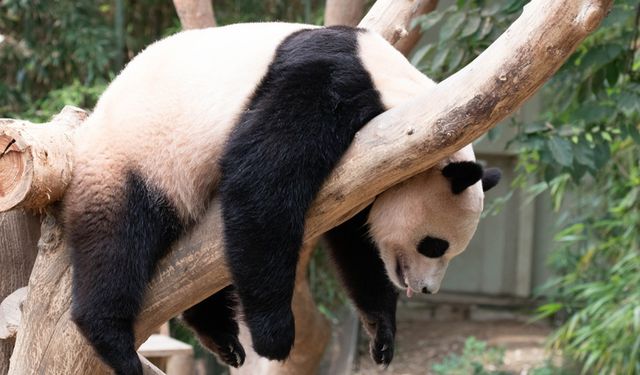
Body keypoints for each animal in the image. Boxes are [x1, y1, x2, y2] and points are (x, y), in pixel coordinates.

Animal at [61, 22, 500, 374]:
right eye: (434, 245)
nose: (426, 290)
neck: (404, 98)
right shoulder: (326, 81)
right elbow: (261, 181)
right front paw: (275, 336)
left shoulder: (369, 164)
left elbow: (356, 243)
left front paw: (382, 334)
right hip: (133, 159)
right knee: (116, 242)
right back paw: (113, 339)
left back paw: (222, 337)